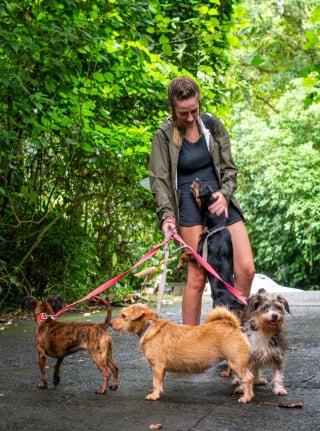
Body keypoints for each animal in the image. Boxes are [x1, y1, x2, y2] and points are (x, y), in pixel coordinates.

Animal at [111, 306, 254, 404]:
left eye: (123, 316)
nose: (110, 323)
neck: (149, 326)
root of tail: (233, 326)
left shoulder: (157, 366)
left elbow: (155, 382)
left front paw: (154, 395)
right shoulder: (161, 369)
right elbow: (160, 382)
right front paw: (158, 392)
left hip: (236, 363)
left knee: (248, 378)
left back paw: (246, 397)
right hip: (237, 363)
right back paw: (242, 390)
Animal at [190, 177, 242, 312]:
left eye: (202, 188)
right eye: (206, 186)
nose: (197, 178)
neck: (217, 226)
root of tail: (233, 301)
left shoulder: (198, 255)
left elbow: (185, 253)